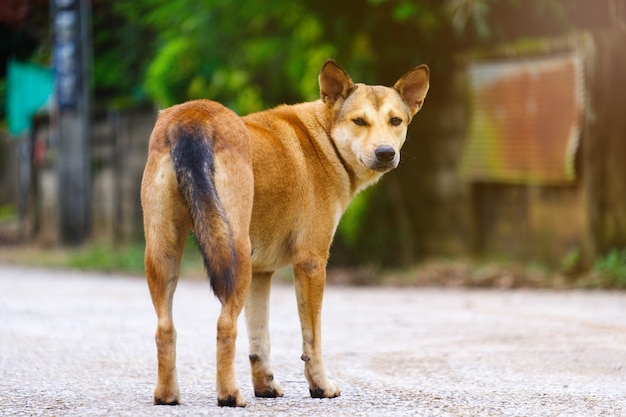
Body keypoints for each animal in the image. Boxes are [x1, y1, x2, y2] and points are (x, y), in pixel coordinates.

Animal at [139, 60, 426, 404]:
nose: (385, 153)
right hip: (234, 256)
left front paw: (265, 387)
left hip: (164, 255)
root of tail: (194, 116)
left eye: (396, 121)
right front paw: (321, 387)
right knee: (224, 326)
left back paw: (167, 395)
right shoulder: (311, 263)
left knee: (164, 329)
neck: (325, 140)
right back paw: (229, 395)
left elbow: (259, 342)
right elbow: (312, 340)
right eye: (359, 121)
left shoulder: (262, 273)